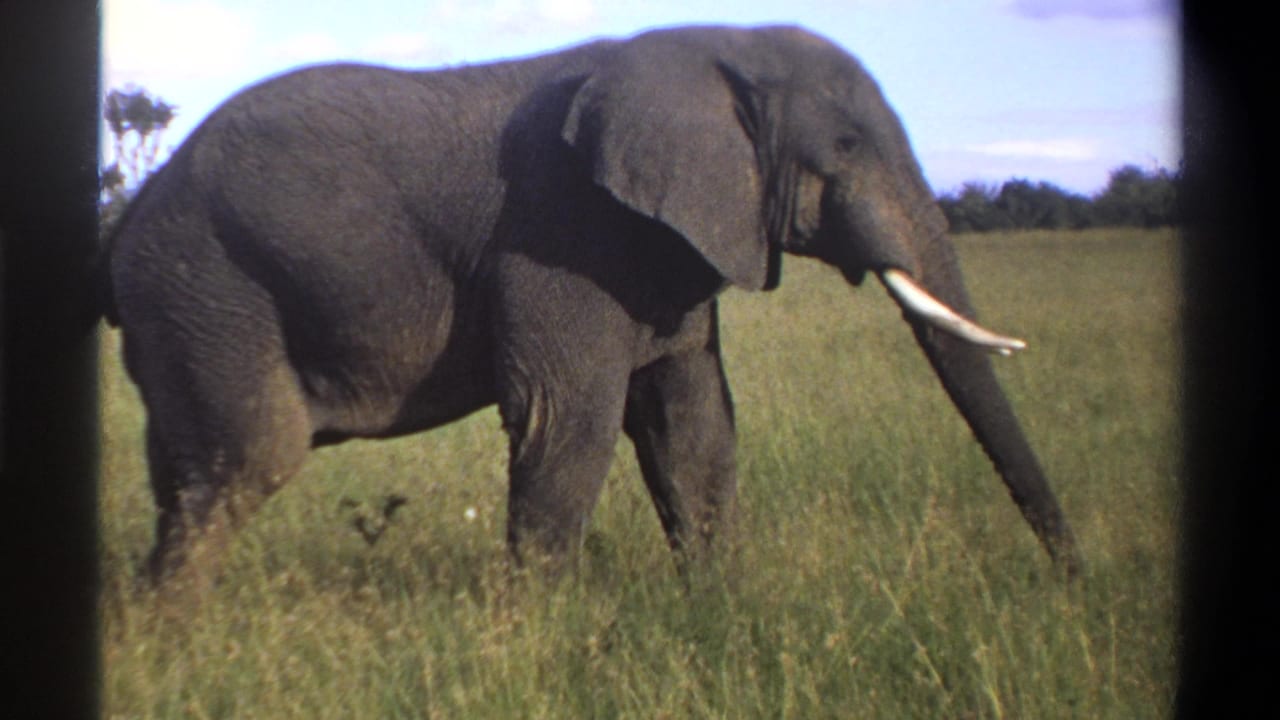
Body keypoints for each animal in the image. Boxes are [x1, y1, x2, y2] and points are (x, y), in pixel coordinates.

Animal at [102, 24, 1081, 594]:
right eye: (843, 145)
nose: (1074, 582)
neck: (711, 47)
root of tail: (131, 218)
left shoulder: (664, 247)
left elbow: (693, 425)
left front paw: (717, 611)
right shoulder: (560, 232)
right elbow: (566, 419)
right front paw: (536, 638)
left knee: (187, 472)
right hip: (211, 282)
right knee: (245, 462)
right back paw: (175, 642)